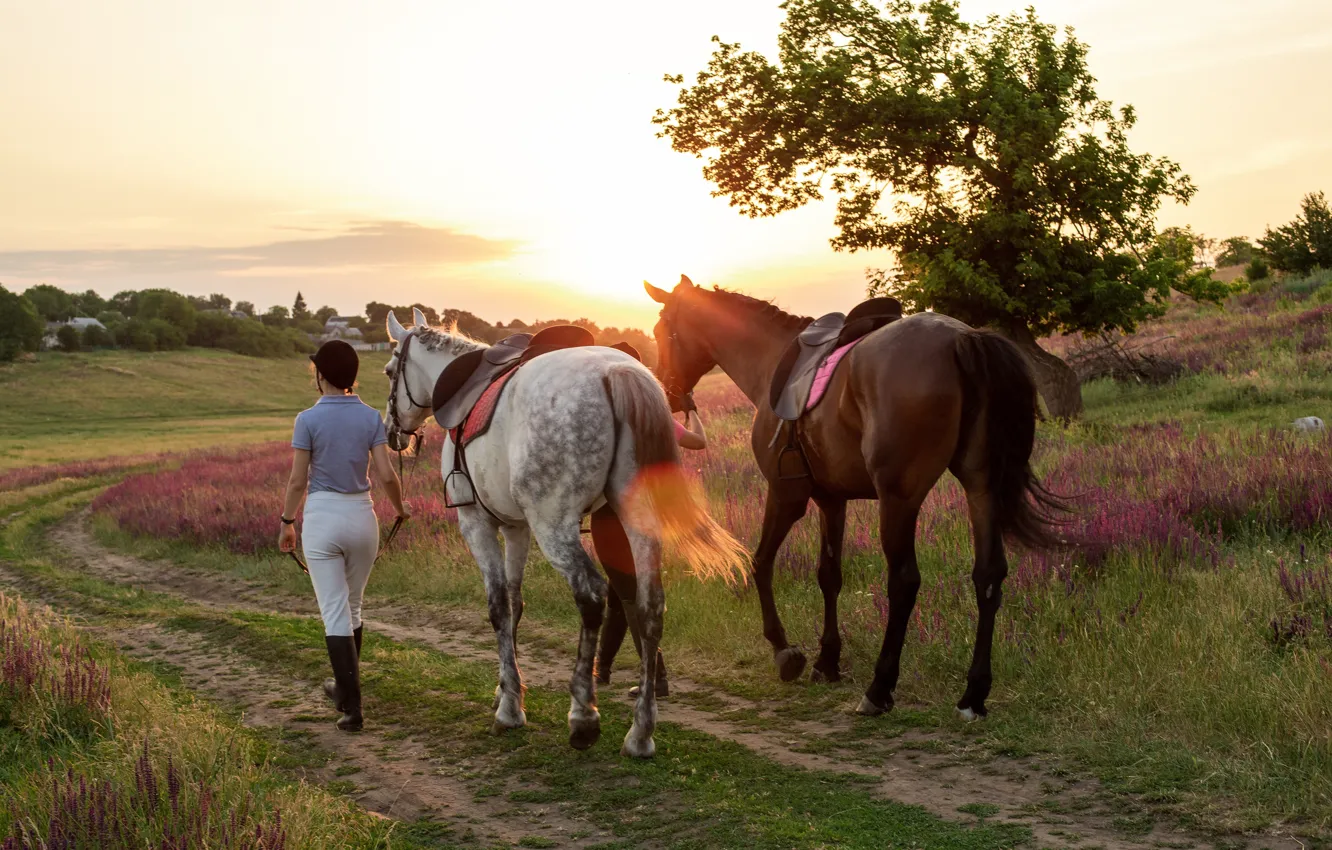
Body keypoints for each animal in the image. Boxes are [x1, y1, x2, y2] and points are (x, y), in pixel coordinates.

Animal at [381, 308, 746, 757]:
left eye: (389, 371)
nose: (392, 432)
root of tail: (619, 372)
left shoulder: (477, 523)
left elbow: (498, 606)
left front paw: (510, 709)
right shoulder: (516, 527)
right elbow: (515, 604)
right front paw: (506, 690)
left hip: (553, 526)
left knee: (591, 595)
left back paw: (583, 717)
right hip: (636, 522)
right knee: (649, 606)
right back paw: (641, 732)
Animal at [645, 277, 1061, 719]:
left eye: (661, 331)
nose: (667, 392)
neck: (771, 360)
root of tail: (964, 338)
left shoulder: (786, 495)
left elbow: (760, 563)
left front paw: (785, 651)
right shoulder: (832, 500)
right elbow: (829, 575)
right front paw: (827, 660)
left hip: (899, 499)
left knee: (904, 581)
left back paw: (879, 688)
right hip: (981, 488)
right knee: (988, 575)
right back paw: (974, 694)